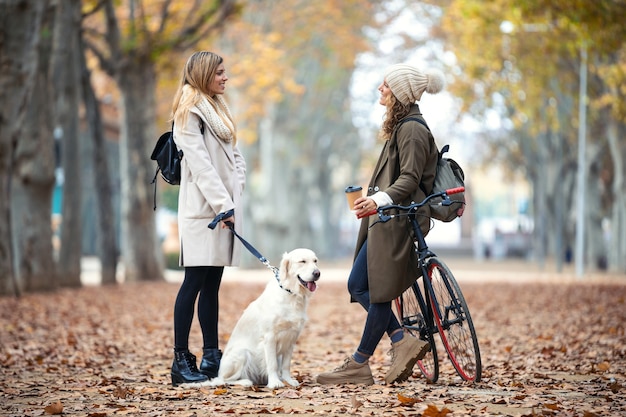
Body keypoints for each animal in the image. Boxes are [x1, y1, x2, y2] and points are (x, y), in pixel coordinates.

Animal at [211, 247, 320, 386]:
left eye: (315, 261)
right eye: (302, 261)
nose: (317, 273)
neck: (291, 294)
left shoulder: (291, 338)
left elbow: (286, 365)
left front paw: (288, 380)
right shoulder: (270, 337)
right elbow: (272, 364)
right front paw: (274, 382)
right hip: (242, 353)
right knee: (224, 380)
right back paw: (245, 381)